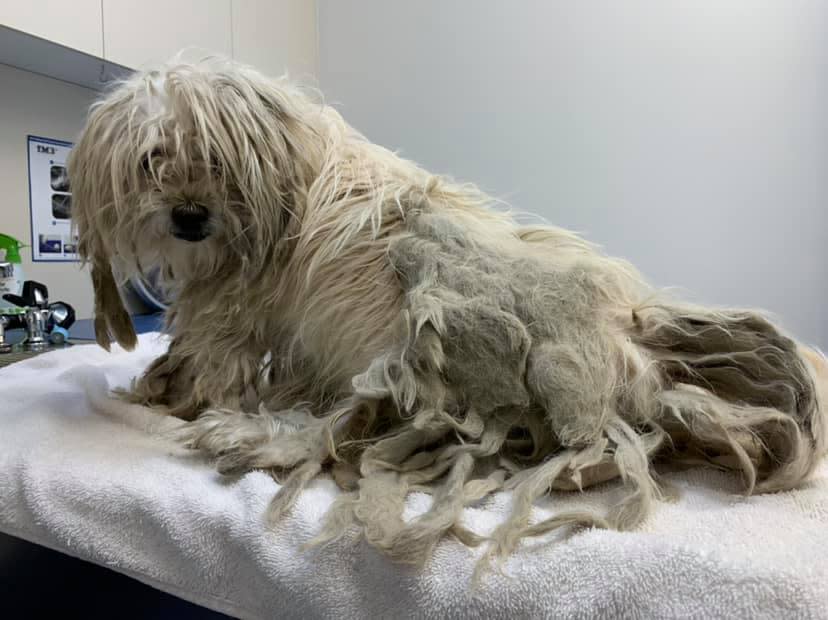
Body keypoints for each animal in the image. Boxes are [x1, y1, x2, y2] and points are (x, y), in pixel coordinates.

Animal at [66, 59, 828, 568]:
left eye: (218, 161)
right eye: (152, 159)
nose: (189, 218)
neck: (291, 181)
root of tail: (639, 357)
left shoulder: (232, 308)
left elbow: (209, 361)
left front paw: (174, 401)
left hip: (423, 361)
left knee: (354, 431)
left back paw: (245, 434)